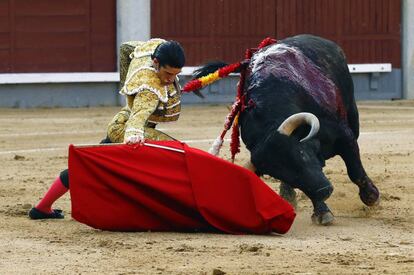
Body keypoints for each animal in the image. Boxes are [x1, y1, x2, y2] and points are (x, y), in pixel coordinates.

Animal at [192, 34, 380, 225]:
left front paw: (371, 197)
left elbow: (355, 170)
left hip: (352, 114)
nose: (324, 190)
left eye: (302, 154)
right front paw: (322, 212)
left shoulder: (344, 135)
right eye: (284, 175)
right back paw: (288, 195)